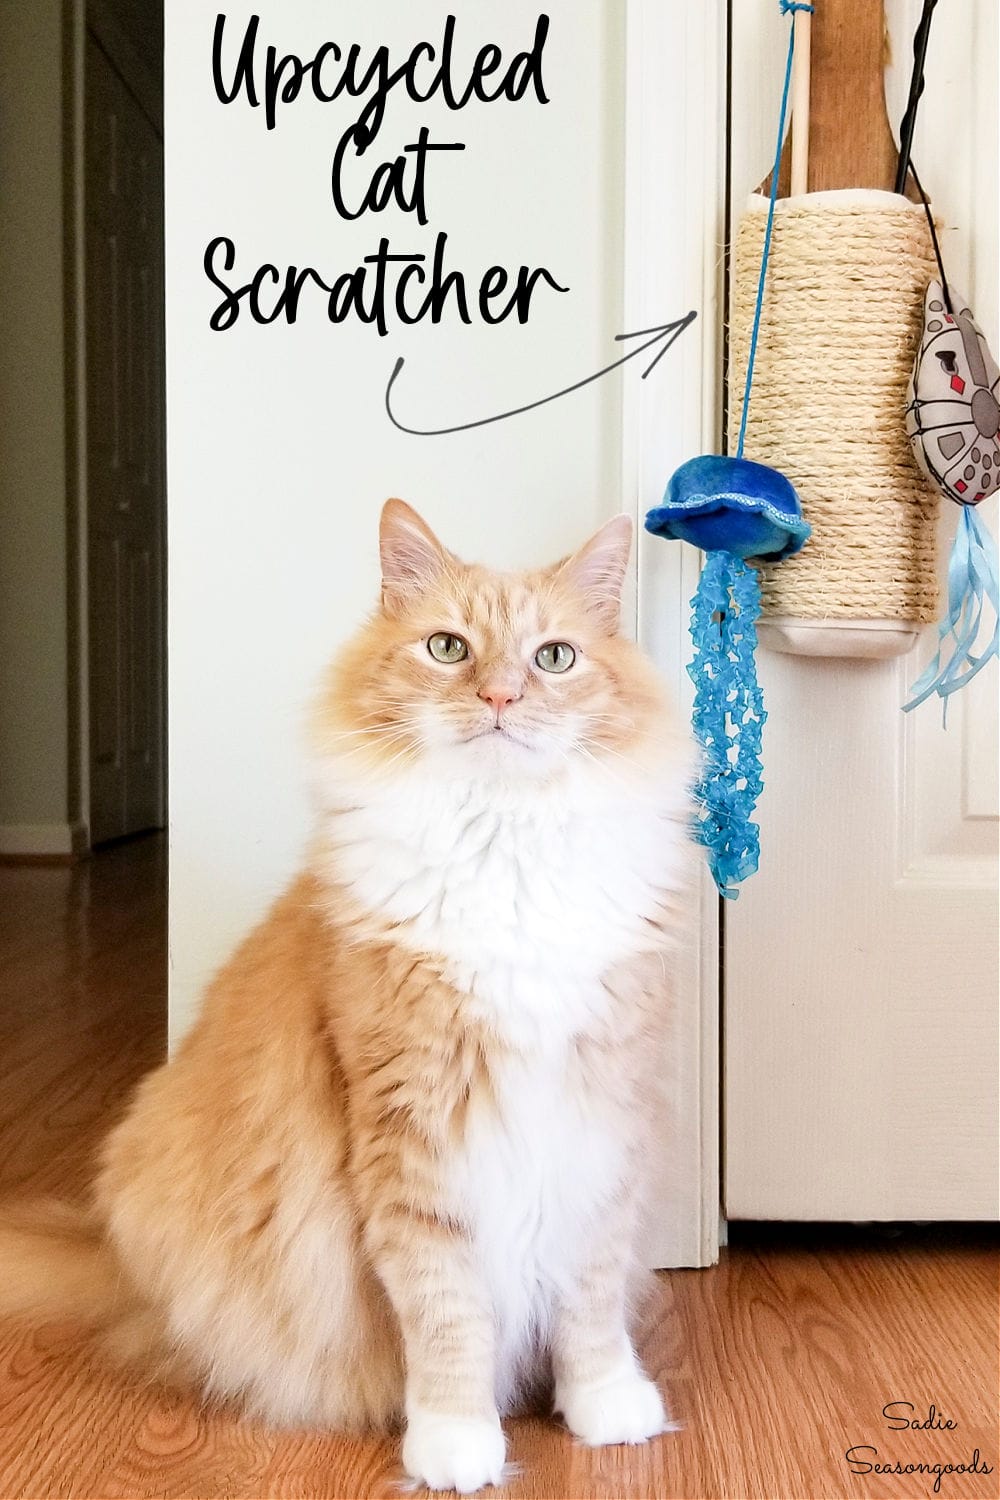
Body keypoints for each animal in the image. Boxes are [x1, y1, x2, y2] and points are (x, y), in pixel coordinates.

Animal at [0, 501, 695, 1488]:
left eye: (553, 657)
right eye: (448, 648)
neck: (506, 850)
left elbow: (590, 1294)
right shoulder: (409, 1128)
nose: (500, 699)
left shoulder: (604, 1116)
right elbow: (446, 1310)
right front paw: (456, 1441)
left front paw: (604, 1406)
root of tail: (114, 1259)